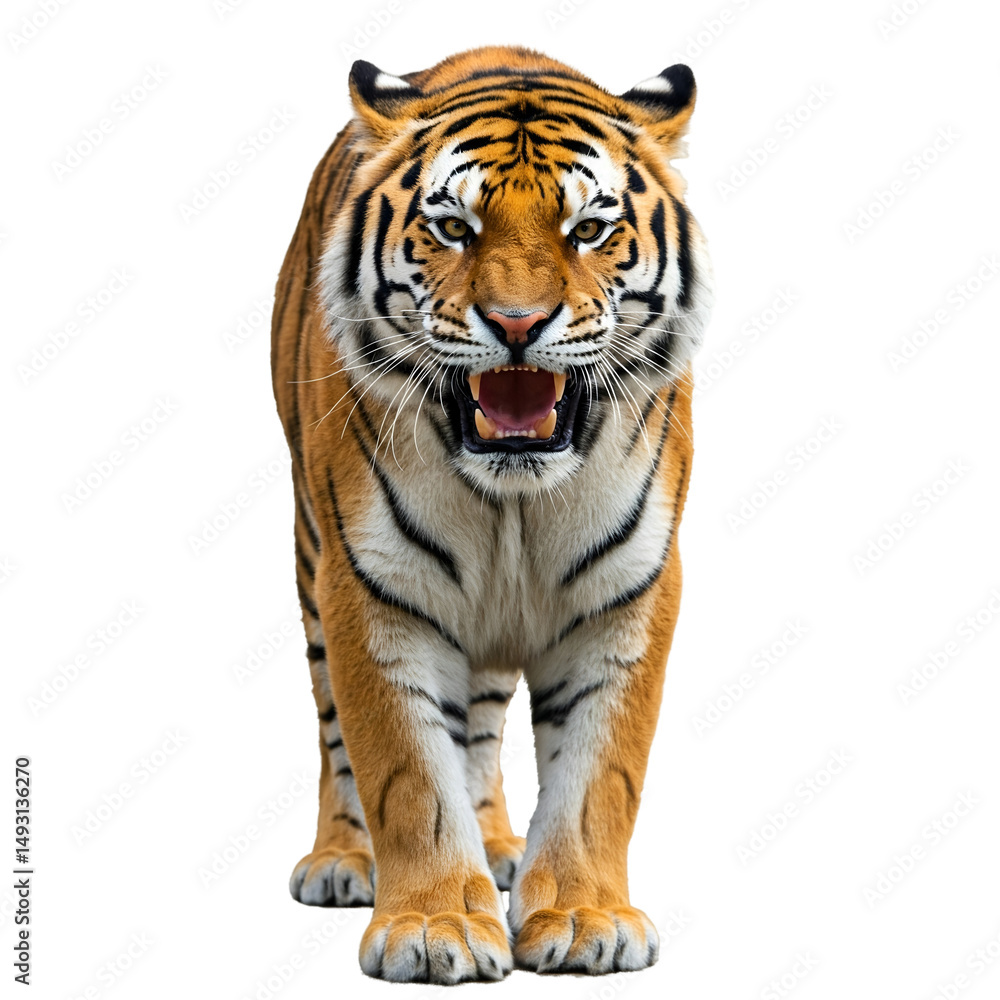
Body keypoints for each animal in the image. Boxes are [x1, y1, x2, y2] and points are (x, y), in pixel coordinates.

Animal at [270, 45, 712, 983]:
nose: (516, 323)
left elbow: (598, 774)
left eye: (588, 230)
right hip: (310, 551)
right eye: (453, 228)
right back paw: (342, 861)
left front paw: (583, 917)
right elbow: (405, 771)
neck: (514, 500)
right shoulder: (372, 588)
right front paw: (432, 926)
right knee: (335, 731)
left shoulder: (629, 590)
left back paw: (501, 845)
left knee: (477, 724)